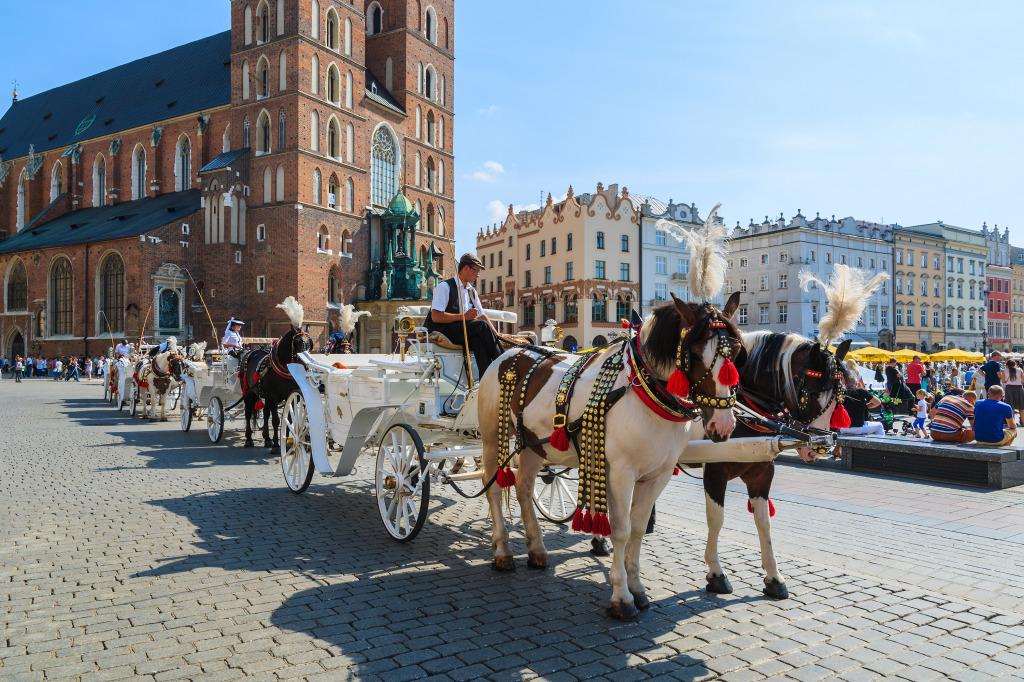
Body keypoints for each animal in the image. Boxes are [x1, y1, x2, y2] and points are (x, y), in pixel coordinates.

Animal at [238, 296, 313, 450]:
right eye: (297, 343)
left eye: (310, 344)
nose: (307, 364)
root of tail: (251, 351)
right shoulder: (273, 395)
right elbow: (277, 420)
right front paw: (277, 445)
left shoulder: (289, 393)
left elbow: (289, 417)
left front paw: (288, 441)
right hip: (248, 391)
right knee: (248, 412)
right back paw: (249, 439)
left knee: (266, 413)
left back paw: (267, 439)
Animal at [475, 288, 749, 618]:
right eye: (694, 352)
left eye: (737, 352)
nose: (723, 424)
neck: (644, 390)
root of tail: (509, 354)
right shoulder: (621, 472)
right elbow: (620, 529)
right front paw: (622, 596)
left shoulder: (657, 476)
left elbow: (638, 529)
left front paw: (637, 587)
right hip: (493, 438)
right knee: (492, 488)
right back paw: (502, 551)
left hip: (533, 445)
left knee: (524, 487)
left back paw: (537, 549)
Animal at [700, 331, 851, 598]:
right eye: (811, 394)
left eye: (838, 399)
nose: (819, 449)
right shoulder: (715, 472)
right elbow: (716, 520)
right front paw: (716, 573)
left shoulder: (761, 473)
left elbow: (764, 522)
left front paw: (774, 577)